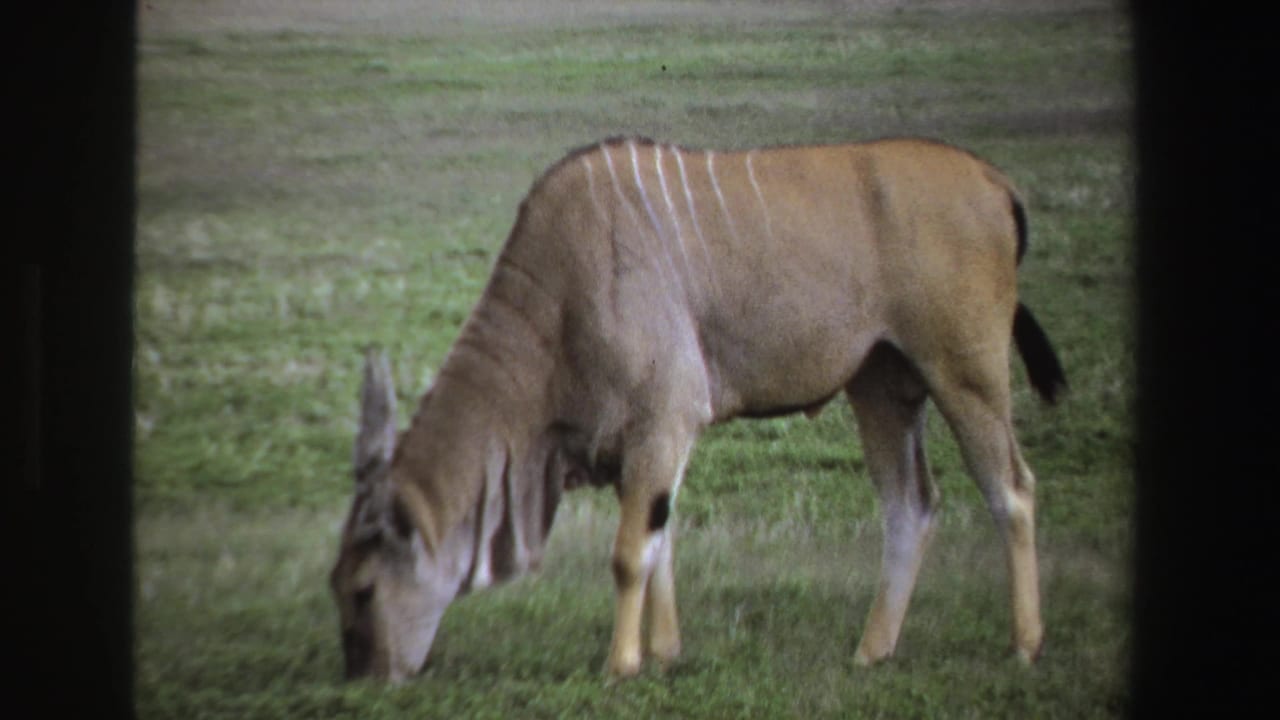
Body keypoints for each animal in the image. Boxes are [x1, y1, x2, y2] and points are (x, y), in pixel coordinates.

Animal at [329, 136, 1067, 681]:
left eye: (362, 590)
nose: (366, 678)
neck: (560, 295)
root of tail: (995, 182)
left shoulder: (663, 422)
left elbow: (631, 553)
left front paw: (622, 665)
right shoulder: (642, 445)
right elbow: (661, 541)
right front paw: (664, 653)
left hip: (964, 373)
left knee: (1012, 489)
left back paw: (1026, 645)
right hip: (883, 386)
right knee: (910, 506)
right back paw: (870, 651)